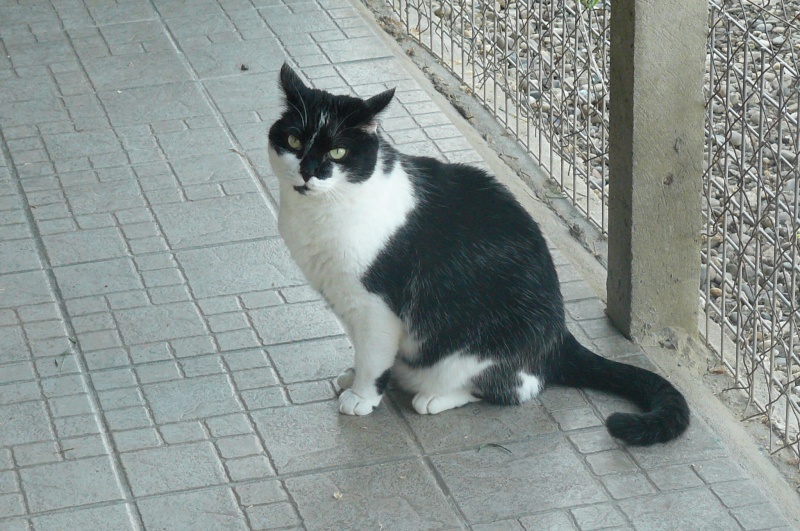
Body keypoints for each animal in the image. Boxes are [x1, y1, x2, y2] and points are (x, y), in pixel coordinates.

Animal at [268, 64, 688, 446]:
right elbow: (363, 353)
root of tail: (560, 337)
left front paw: (362, 395)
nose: (307, 171)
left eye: (338, 151)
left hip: (484, 348)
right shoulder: (345, 299)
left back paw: (434, 396)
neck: (320, 214)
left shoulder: (376, 307)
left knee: (517, 387)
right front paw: (354, 377)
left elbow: (373, 356)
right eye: (294, 141)